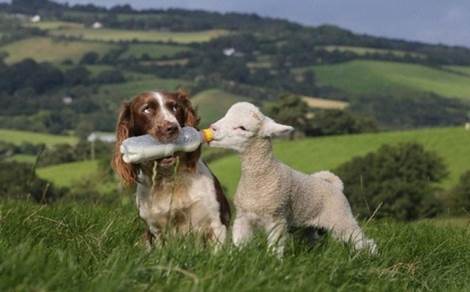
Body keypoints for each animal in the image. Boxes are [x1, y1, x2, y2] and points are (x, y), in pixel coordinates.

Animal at [114, 90, 231, 246]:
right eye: (147, 109)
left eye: (175, 107)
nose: (172, 128)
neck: (168, 178)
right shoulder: (156, 230)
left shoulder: (216, 223)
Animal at [209, 102, 378, 256]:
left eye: (242, 128)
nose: (212, 128)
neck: (260, 177)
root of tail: (334, 185)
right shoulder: (243, 218)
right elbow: (239, 244)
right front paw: (236, 257)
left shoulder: (277, 219)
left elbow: (275, 248)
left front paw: (274, 263)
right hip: (308, 227)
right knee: (313, 241)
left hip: (340, 217)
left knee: (362, 241)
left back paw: (372, 256)